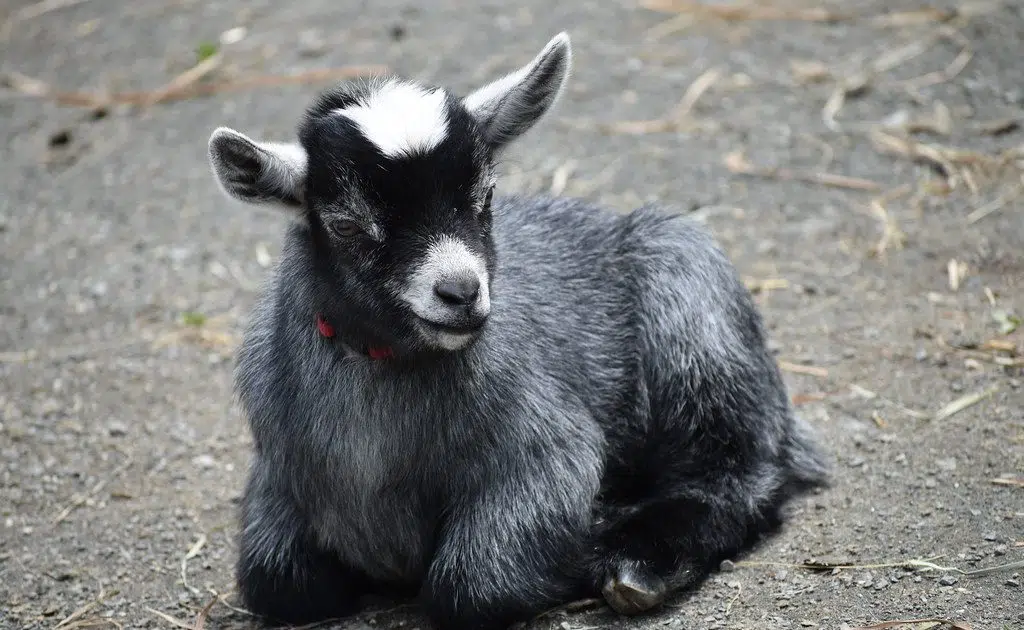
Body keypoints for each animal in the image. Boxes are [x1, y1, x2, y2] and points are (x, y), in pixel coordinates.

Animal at [207, 32, 829, 630]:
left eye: (485, 197)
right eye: (346, 226)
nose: (461, 292)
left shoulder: (547, 452)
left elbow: (471, 585)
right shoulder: (277, 476)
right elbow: (278, 582)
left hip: (693, 306)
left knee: (736, 465)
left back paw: (637, 561)